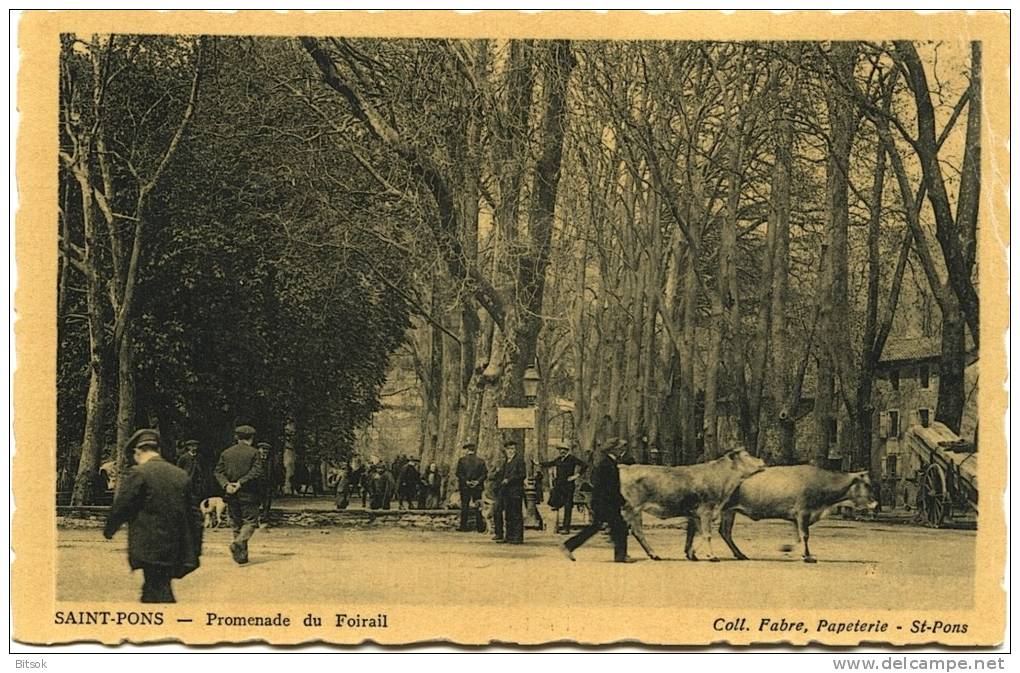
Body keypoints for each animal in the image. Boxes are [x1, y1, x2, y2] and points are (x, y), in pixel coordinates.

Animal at [616, 452, 767, 562]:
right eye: (747, 455)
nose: (762, 459)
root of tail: (625, 467)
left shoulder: (697, 514)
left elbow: (700, 534)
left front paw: (692, 554)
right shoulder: (706, 510)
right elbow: (707, 534)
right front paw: (713, 556)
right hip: (632, 508)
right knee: (636, 531)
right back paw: (650, 554)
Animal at [718, 462, 877, 562]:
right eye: (867, 485)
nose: (875, 504)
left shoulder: (797, 517)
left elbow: (798, 537)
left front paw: (793, 550)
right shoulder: (803, 512)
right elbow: (805, 535)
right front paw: (807, 556)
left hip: (729, 511)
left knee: (725, 532)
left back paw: (739, 554)